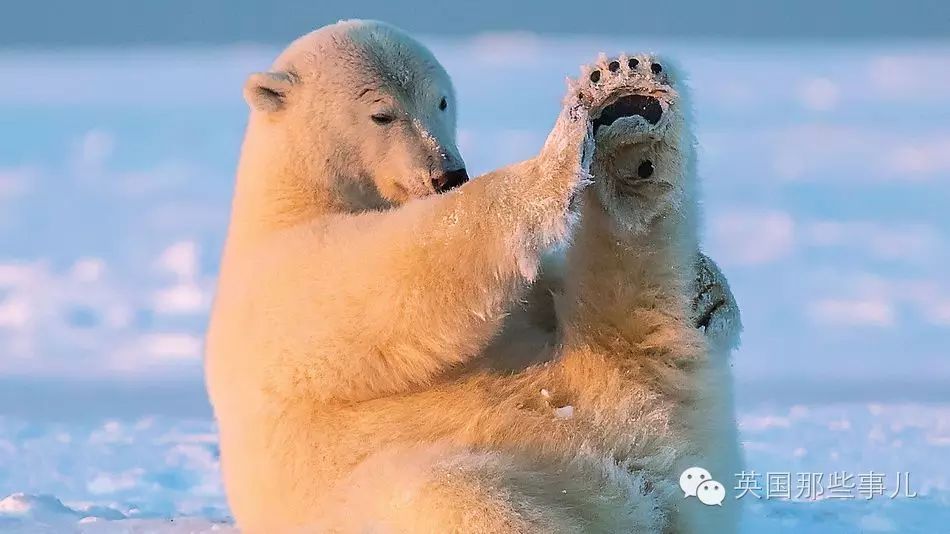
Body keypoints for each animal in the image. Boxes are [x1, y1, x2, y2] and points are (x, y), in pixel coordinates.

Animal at [206, 18, 744, 532]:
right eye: (382, 114)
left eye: (442, 100)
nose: (448, 173)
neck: (294, 194)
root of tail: (645, 476)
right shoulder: (281, 275)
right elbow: (393, 274)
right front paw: (551, 165)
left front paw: (713, 294)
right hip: (478, 467)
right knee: (463, 493)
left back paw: (631, 114)